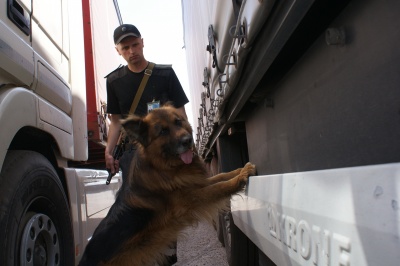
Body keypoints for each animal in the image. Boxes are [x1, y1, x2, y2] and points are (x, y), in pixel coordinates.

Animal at [79, 104, 256, 266]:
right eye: (163, 131)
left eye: (178, 122)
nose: (188, 141)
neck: (163, 167)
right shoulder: (193, 197)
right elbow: (220, 186)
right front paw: (241, 177)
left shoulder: (196, 184)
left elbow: (222, 176)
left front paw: (240, 170)